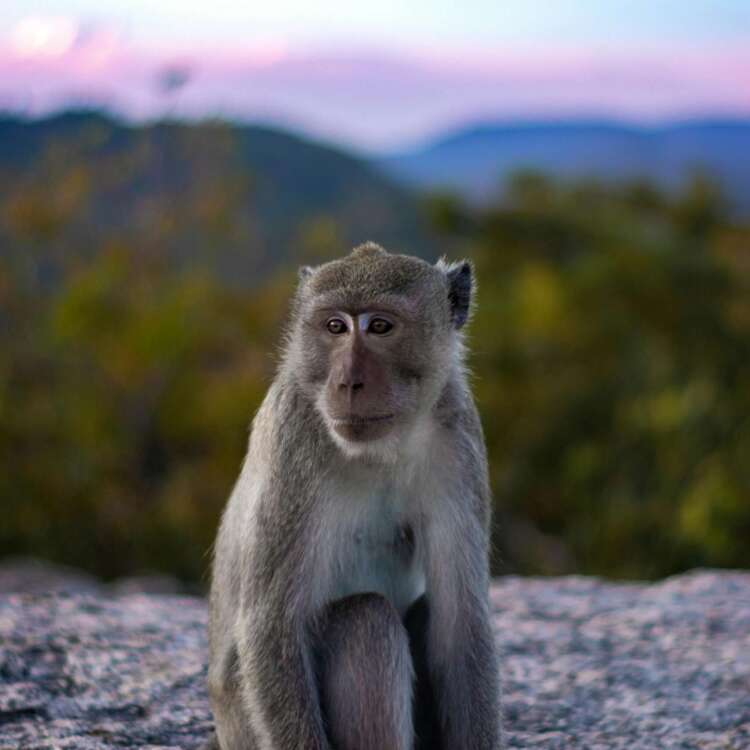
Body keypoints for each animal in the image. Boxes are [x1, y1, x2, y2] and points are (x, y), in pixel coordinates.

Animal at [205, 242, 501, 750]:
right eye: (335, 327)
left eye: (379, 327)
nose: (347, 383)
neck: (379, 451)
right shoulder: (295, 436)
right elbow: (271, 626)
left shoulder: (457, 436)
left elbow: (461, 625)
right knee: (366, 621)